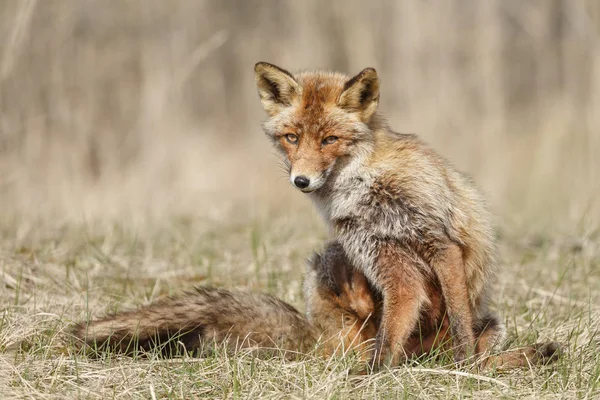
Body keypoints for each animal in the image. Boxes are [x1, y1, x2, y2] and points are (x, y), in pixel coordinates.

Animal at [253, 61, 556, 368]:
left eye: (330, 140)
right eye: (292, 137)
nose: (301, 180)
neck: (365, 186)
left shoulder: (439, 243)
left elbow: (459, 319)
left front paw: (465, 365)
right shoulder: (386, 258)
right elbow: (388, 337)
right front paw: (374, 374)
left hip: (488, 325)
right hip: (328, 265)